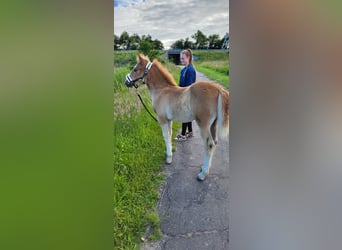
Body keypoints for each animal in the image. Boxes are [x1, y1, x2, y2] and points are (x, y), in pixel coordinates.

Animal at [124, 53, 228, 181]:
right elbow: (169, 135)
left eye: (135, 69)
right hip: (214, 124)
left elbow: (165, 136)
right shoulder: (169, 120)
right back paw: (204, 168)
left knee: (209, 144)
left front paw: (168, 158)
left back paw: (203, 174)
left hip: (203, 124)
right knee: (215, 142)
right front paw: (170, 155)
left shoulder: (162, 119)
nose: (126, 81)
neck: (162, 90)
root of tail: (219, 89)